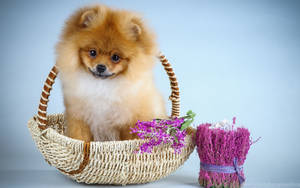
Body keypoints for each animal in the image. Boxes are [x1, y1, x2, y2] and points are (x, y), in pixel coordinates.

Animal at [55, 4, 166, 142]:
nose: (101, 67)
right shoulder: (79, 117)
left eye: (115, 57)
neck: (103, 86)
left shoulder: (129, 120)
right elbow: (79, 137)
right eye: (92, 52)